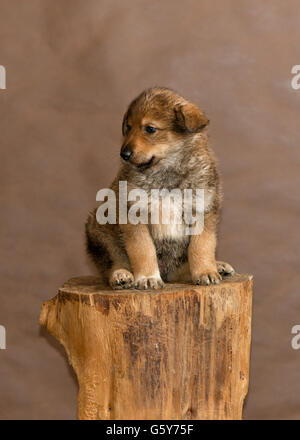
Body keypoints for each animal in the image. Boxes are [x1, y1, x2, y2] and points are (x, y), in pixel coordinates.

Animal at [85, 87, 234, 290]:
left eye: (150, 129)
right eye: (128, 128)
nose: (124, 154)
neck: (166, 171)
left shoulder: (203, 210)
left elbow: (201, 246)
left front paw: (205, 272)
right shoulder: (133, 215)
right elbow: (143, 249)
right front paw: (148, 277)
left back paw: (217, 267)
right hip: (100, 232)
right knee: (114, 262)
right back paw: (121, 275)